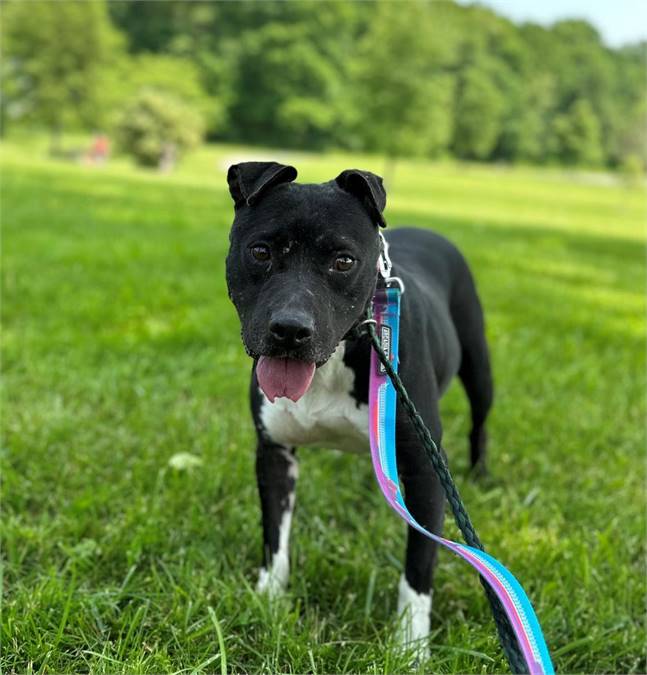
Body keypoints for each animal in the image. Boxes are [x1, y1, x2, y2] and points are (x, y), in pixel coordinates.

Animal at [225, 161, 494, 656]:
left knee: (480, 421)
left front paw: (410, 649)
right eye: (260, 251)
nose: (290, 329)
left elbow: (419, 567)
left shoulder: (426, 469)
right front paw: (267, 603)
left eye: (344, 261)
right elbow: (275, 538)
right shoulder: (274, 453)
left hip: (479, 364)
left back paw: (481, 472)